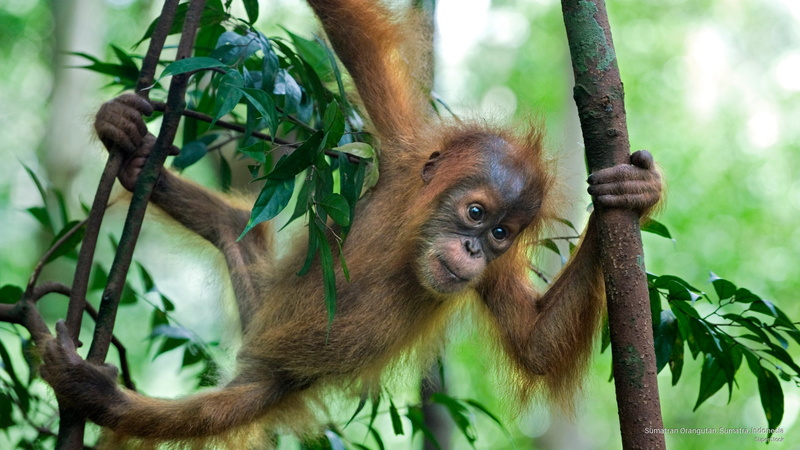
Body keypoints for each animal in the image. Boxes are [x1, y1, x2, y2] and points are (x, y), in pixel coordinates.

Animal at [40, 0, 662, 445]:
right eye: (476, 213)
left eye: (500, 236)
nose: (473, 251)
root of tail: (257, 333)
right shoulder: (406, 148)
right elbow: (354, 33)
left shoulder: (490, 271)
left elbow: (536, 343)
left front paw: (631, 194)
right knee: (231, 229)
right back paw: (129, 141)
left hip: (269, 377)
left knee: (216, 396)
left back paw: (96, 393)